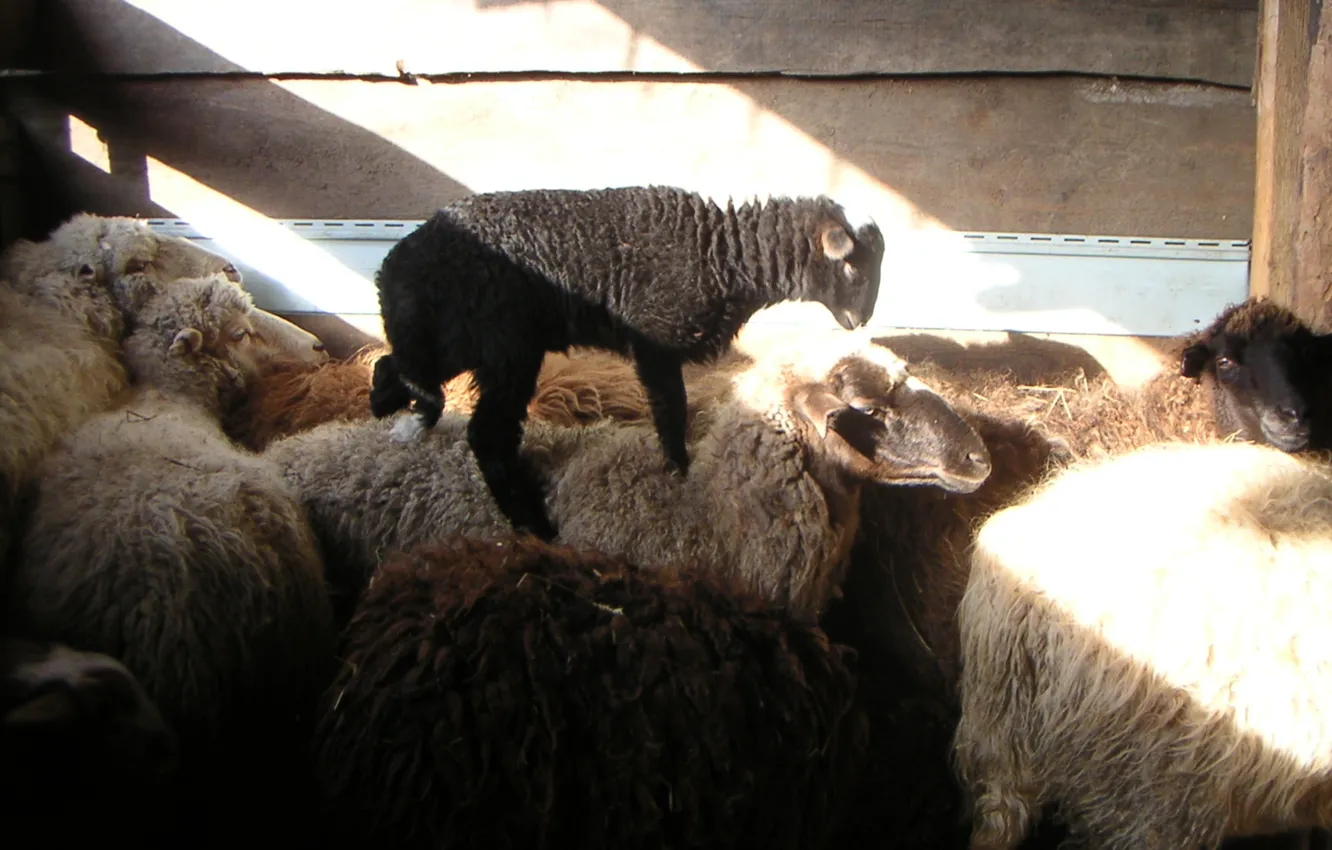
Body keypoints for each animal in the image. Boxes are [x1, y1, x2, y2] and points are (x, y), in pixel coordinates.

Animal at [369, 185, 886, 539]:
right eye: (853, 267)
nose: (860, 321)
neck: (722, 258)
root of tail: (395, 265)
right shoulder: (656, 341)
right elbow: (672, 412)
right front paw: (679, 471)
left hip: (466, 341)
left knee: (401, 369)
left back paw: (391, 408)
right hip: (504, 346)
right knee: (487, 434)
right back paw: (534, 523)